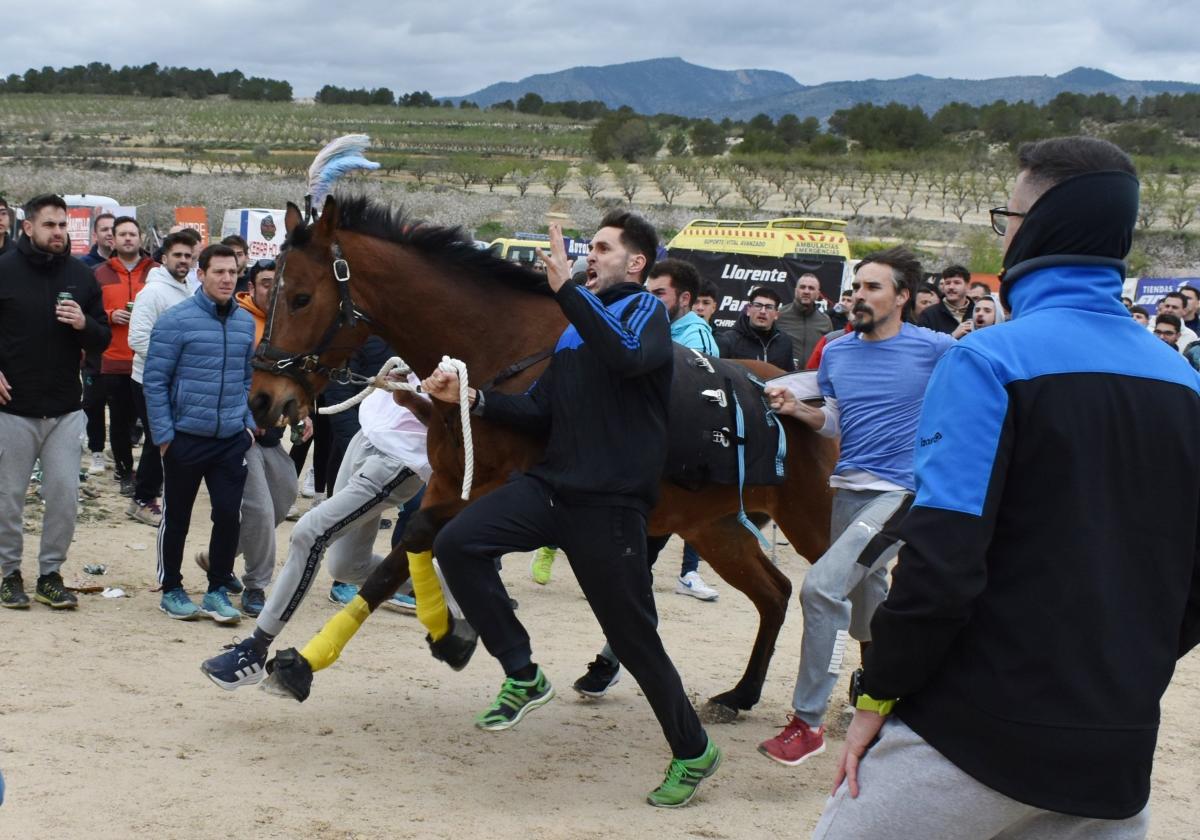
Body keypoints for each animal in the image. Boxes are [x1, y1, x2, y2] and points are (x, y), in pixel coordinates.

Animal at [253, 193, 835, 720]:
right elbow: (397, 559)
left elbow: (422, 543)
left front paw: (453, 634)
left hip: (812, 522)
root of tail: (810, 396)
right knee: (776, 593)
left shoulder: (493, 491)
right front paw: (306, 663)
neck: (503, 349)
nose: (263, 397)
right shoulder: (449, 482)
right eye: (274, 292)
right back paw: (740, 694)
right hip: (713, 525)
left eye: (300, 297)